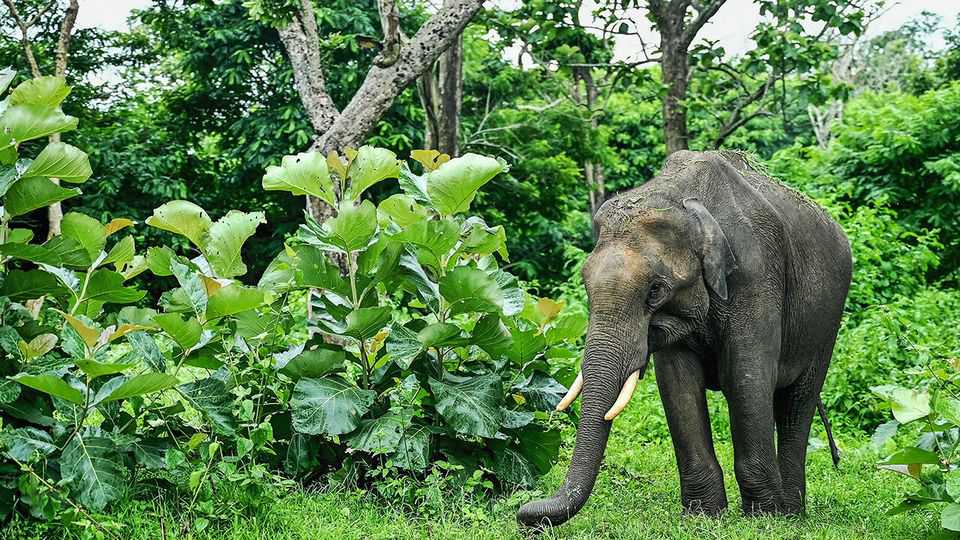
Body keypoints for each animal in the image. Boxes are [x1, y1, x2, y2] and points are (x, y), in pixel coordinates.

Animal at [517, 150, 852, 528]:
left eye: (655, 291)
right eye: (585, 284)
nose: (526, 513)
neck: (683, 199)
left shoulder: (756, 274)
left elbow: (746, 378)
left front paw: (764, 518)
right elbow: (678, 384)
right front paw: (704, 516)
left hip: (827, 321)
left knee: (797, 402)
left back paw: (791, 513)